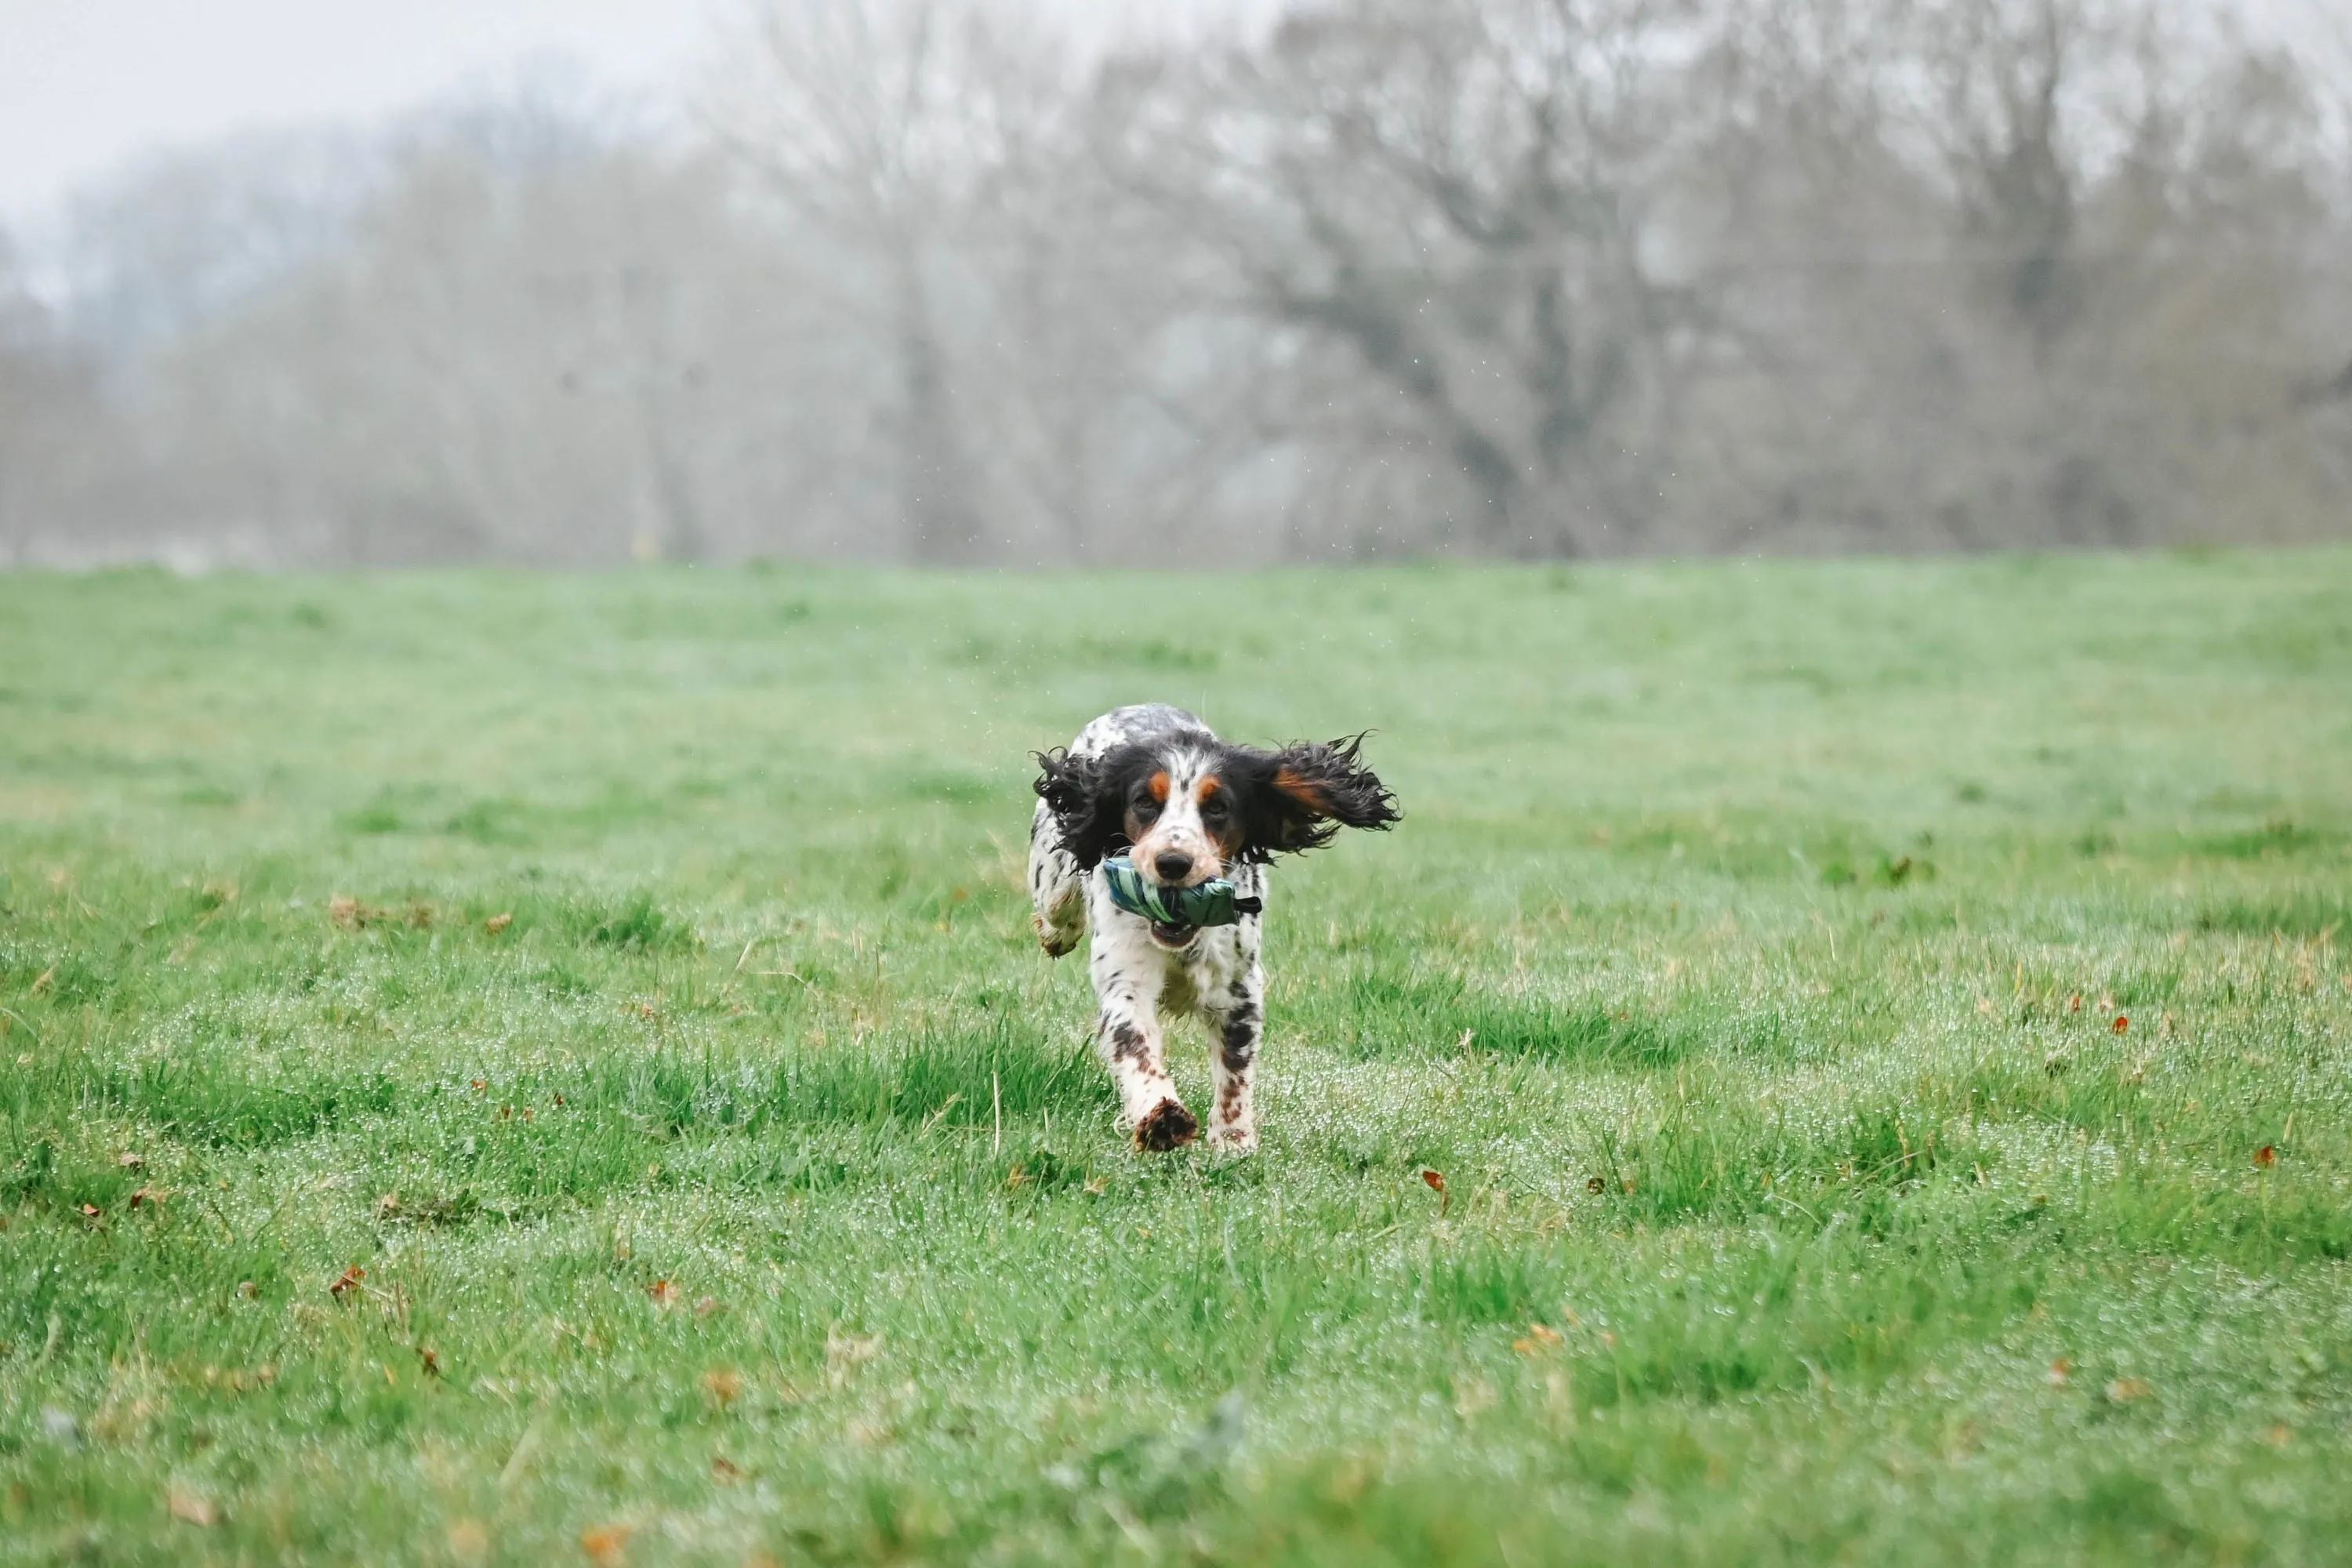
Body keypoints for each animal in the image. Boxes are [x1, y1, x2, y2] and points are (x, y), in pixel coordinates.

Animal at [1030, 710, 1392, 1152]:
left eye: (1217, 807)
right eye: (1145, 802)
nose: (1173, 862)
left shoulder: (1239, 987)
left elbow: (1235, 1068)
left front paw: (1234, 1142)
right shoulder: (1126, 977)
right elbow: (1134, 1044)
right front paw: (1162, 1117)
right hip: (1052, 879)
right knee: (1059, 908)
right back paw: (1056, 934)